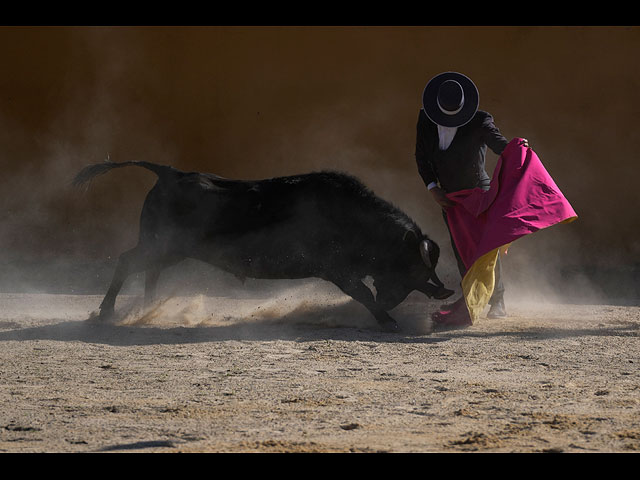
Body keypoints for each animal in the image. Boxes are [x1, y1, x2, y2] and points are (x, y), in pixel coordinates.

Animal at [72, 161, 452, 330]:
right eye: (411, 265)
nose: (440, 291)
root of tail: (170, 173)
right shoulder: (337, 270)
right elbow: (363, 294)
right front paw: (387, 320)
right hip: (163, 246)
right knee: (127, 261)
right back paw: (107, 312)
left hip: (168, 250)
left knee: (149, 272)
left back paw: (146, 309)